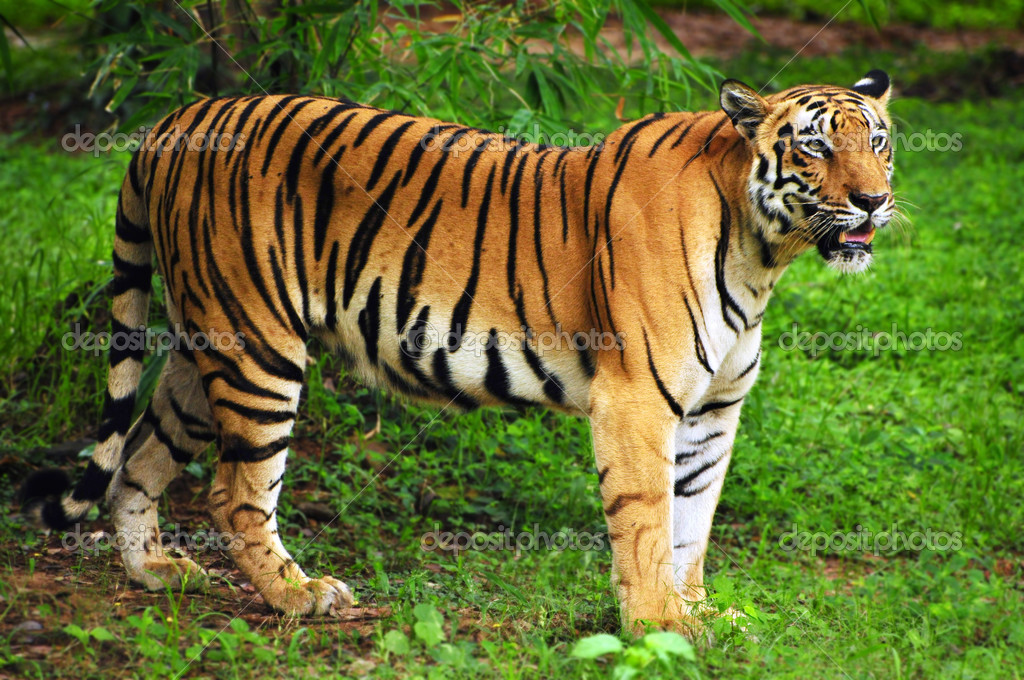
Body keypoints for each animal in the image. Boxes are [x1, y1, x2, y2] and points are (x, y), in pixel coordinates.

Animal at [19, 70, 892, 639]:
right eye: (815, 149)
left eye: (879, 142)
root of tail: (174, 120)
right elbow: (648, 519)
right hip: (257, 347)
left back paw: (155, 573)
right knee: (234, 492)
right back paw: (299, 597)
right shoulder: (639, 398)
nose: (874, 199)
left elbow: (693, 521)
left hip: (203, 351)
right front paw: (657, 627)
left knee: (138, 456)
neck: (763, 251)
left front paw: (701, 614)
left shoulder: (714, 408)